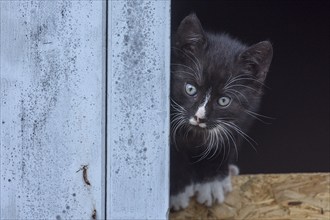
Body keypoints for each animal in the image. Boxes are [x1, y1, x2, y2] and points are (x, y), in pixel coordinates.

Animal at [170, 13, 274, 210]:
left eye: (224, 101)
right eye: (190, 89)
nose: (199, 117)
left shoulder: (242, 119)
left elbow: (224, 144)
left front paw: (212, 182)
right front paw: (178, 190)